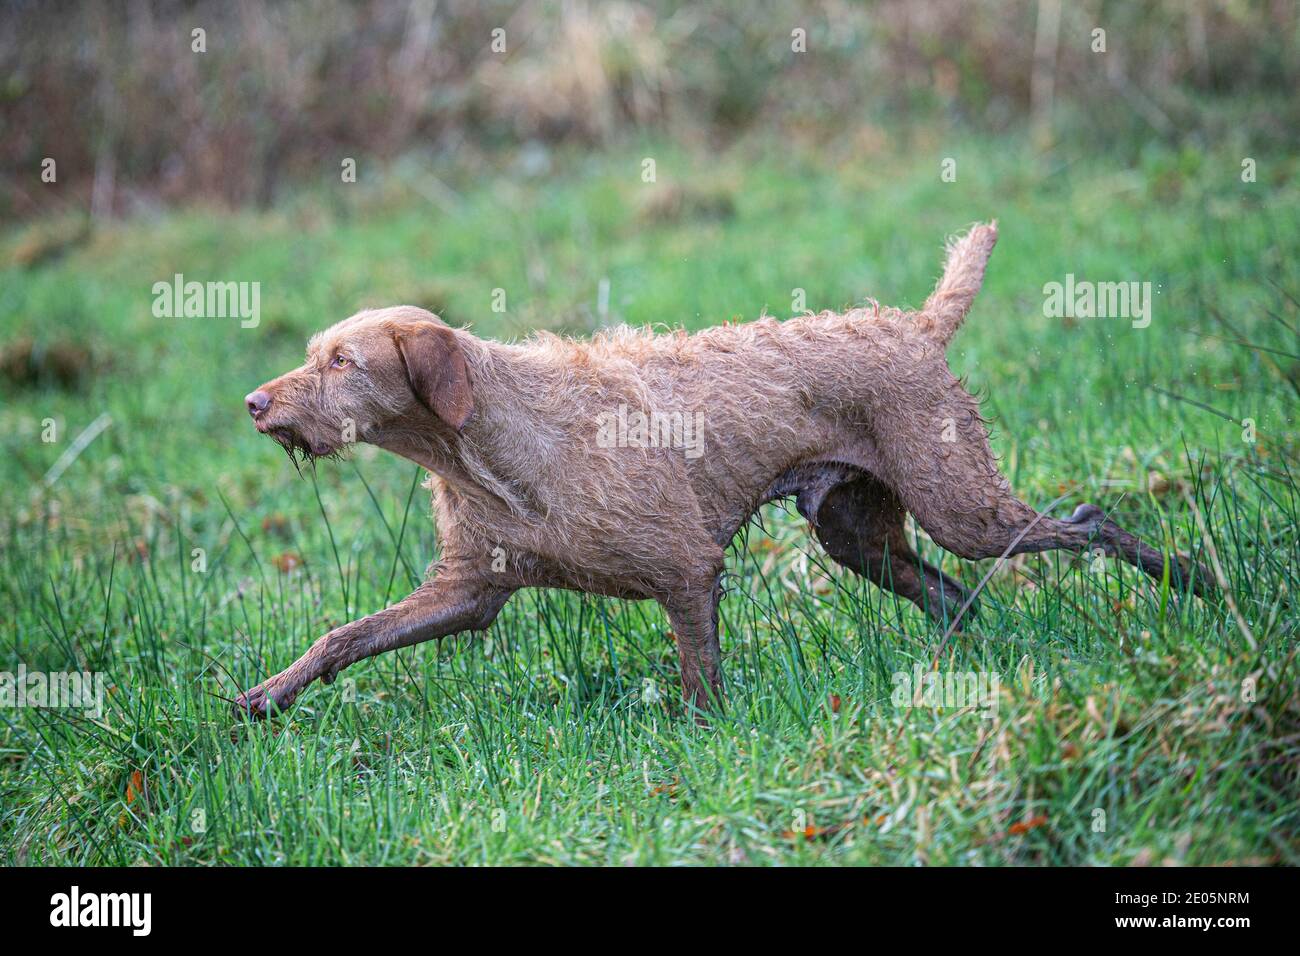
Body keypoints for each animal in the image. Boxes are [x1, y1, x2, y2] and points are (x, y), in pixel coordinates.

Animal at [235, 223, 1209, 717]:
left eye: (341, 362)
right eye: (315, 353)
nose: (254, 401)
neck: (492, 444)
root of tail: (914, 326)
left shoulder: (686, 570)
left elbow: (699, 675)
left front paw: (702, 741)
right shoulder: (468, 592)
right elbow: (345, 636)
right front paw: (266, 697)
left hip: (961, 504)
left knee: (1083, 523)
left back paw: (1193, 578)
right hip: (857, 532)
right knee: (958, 594)